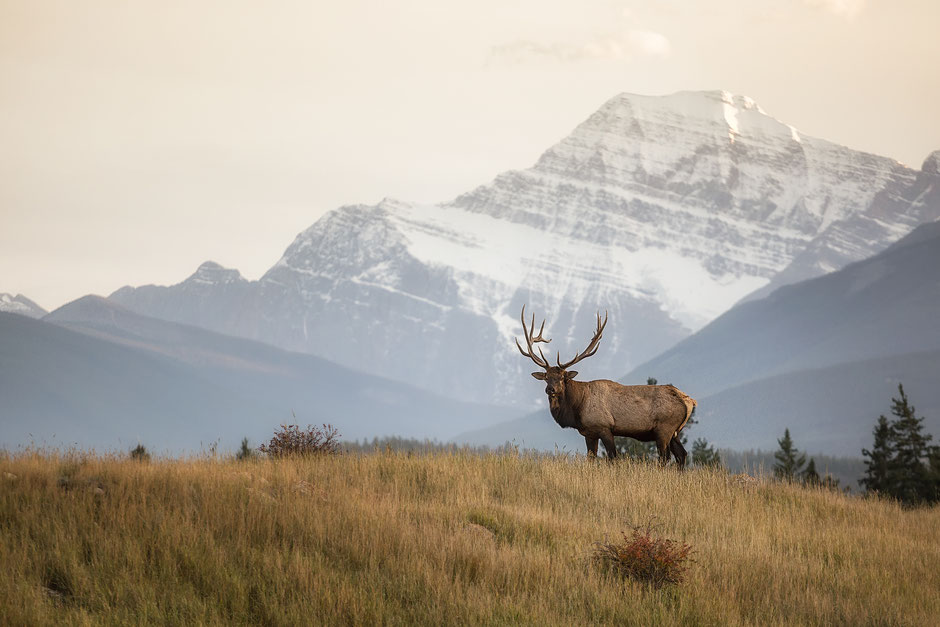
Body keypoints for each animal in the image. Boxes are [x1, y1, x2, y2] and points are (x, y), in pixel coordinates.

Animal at [515, 306, 696, 467]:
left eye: (562, 377)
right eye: (546, 377)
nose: (550, 389)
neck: (578, 407)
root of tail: (689, 401)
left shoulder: (604, 427)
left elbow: (612, 457)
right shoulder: (589, 433)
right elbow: (591, 459)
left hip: (664, 428)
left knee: (665, 457)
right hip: (675, 431)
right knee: (681, 454)